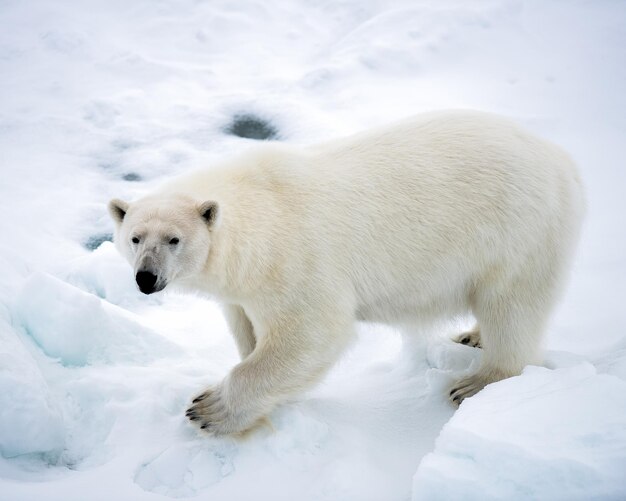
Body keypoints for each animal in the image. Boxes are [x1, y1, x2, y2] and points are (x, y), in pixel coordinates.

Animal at [109, 109, 584, 434]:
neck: (258, 214)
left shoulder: (295, 258)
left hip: (517, 230)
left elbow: (311, 333)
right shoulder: (243, 286)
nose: (146, 278)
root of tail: (562, 159)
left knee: (513, 306)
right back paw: (472, 335)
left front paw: (208, 408)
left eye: (174, 239)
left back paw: (475, 382)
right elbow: (246, 326)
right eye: (135, 238)